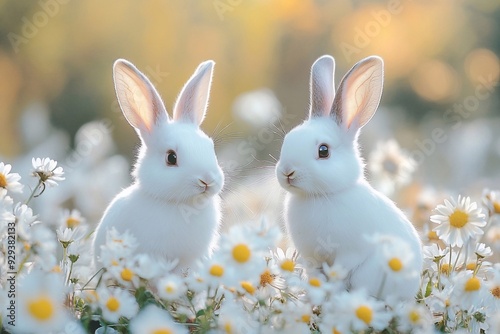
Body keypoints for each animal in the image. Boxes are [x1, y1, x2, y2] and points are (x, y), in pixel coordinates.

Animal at [276, 54, 424, 300]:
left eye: (323, 151)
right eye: (287, 140)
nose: (287, 172)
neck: (321, 196)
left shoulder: (351, 252)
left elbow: (340, 270)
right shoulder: (310, 257)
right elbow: (314, 276)